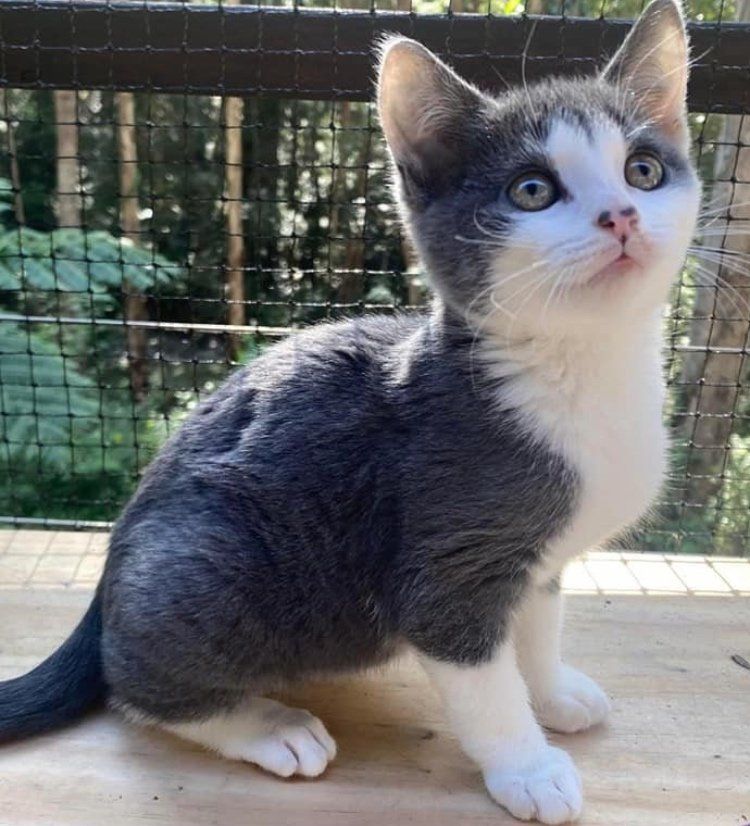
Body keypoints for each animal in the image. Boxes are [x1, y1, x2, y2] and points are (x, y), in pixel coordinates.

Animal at [2, 3, 704, 820]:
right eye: (532, 190)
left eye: (643, 170)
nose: (621, 215)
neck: (585, 371)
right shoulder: (444, 559)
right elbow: (484, 682)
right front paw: (529, 767)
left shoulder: (535, 559)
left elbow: (536, 626)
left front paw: (554, 693)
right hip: (209, 563)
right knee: (133, 683)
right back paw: (268, 726)